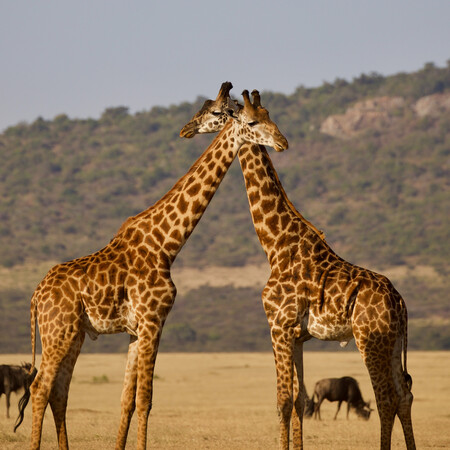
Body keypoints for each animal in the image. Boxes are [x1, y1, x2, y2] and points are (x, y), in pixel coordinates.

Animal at [14, 81, 288, 450]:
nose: (283, 141)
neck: (166, 245)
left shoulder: (135, 329)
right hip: (58, 331)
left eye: (269, 114)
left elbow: (126, 400)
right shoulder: (153, 321)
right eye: (251, 121)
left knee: (59, 391)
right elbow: (145, 399)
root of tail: (35, 298)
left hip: (73, 334)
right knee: (40, 387)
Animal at [179, 89, 414, 448]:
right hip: (393, 342)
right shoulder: (299, 336)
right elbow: (300, 398)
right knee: (404, 395)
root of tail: (399, 302)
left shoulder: (278, 325)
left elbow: (282, 399)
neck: (275, 245)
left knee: (386, 398)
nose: (282, 142)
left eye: (215, 111)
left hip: (371, 339)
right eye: (255, 118)